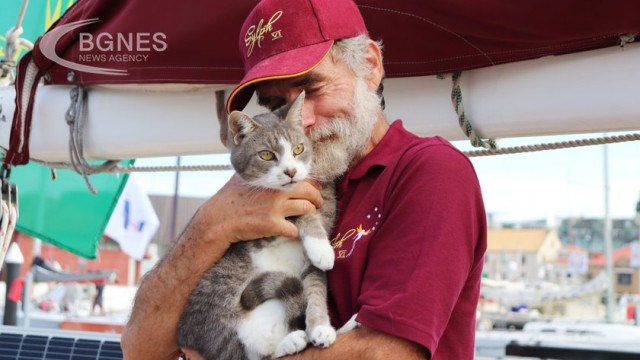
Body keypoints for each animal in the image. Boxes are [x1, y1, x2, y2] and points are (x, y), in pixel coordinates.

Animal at [176, 92, 340, 360]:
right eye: (266, 155)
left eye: (298, 148)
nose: (291, 171)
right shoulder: (261, 228)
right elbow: (300, 215)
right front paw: (321, 247)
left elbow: (315, 285)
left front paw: (320, 327)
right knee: (236, 353)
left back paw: (290, 341)